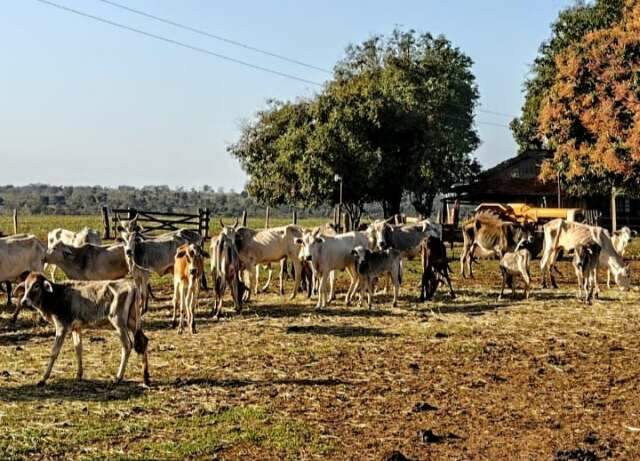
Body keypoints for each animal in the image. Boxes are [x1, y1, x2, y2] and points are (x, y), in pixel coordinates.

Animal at [17, 272, 150, 386]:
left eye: (36, 286)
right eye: (26, 286)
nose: (24, 301)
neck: (57, 295)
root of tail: (131, 285)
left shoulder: (61, 327)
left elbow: (54, 352)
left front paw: (43, 378)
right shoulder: (76, 327)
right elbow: (78, 349)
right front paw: (79, 374)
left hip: (119, 322)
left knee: (127, 346)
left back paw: (118, 377)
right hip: (132, 322)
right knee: (143, 341)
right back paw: (145, 377)